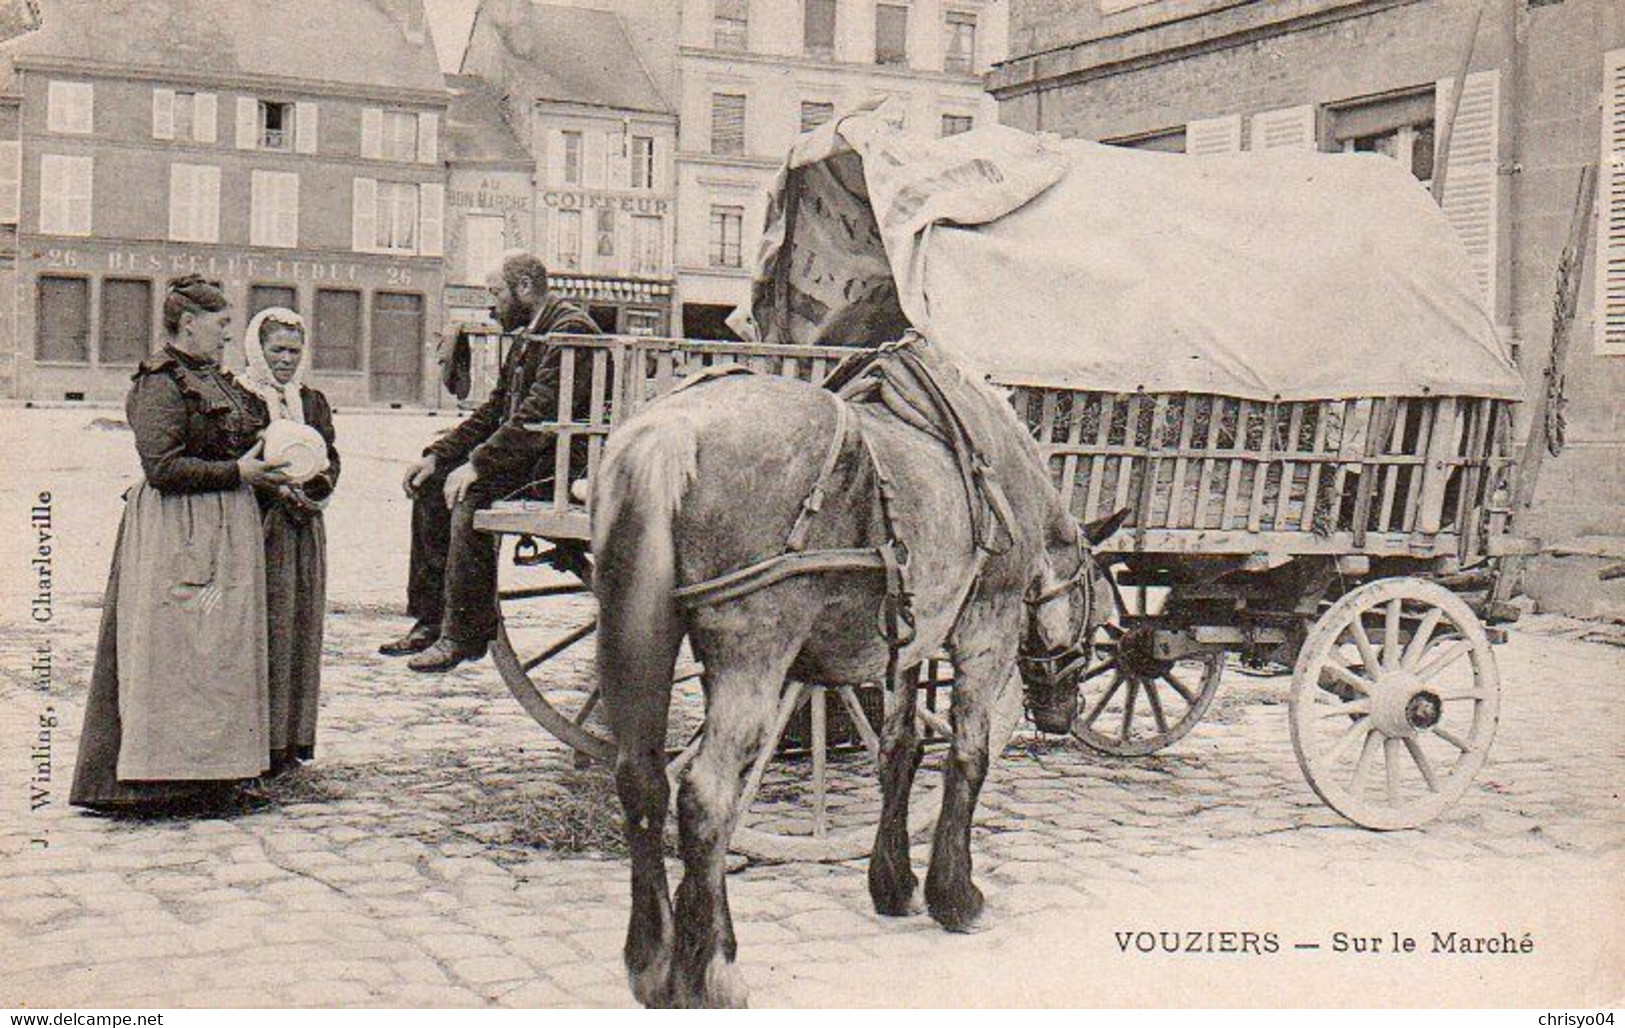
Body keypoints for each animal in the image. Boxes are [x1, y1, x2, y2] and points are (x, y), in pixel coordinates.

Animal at [594, 334, 1118, 1000]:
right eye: (1099, 615)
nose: (1061, 712)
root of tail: (672, 430)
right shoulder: (987, 630)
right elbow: (967, 757)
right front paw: (956, 895)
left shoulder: (911, 643)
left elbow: (899, 749)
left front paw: (893, 883)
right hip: (753, 659)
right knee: (707, 796)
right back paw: (714, 966)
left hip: (637, 637)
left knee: (642, 781)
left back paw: (654, 962)